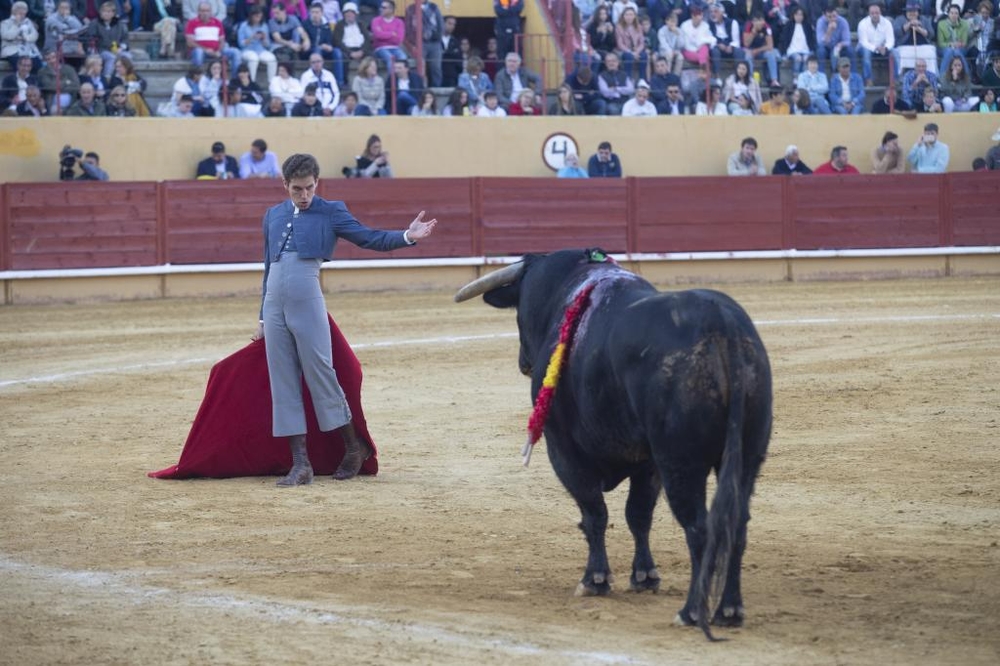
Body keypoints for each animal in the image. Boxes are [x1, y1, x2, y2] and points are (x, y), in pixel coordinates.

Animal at [454, 249, 772, 640]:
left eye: (519, 310)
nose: (523, 362)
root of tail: (721, 325)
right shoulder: (648, 463)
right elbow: (638, 515)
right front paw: (645, 576)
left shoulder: (564, 450)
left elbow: (594, 514)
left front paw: (595, 580)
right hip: (747, 458)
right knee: (736, 525)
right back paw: (729, 610)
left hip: (680, 463)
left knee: (700, 528)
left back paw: (691, 612)